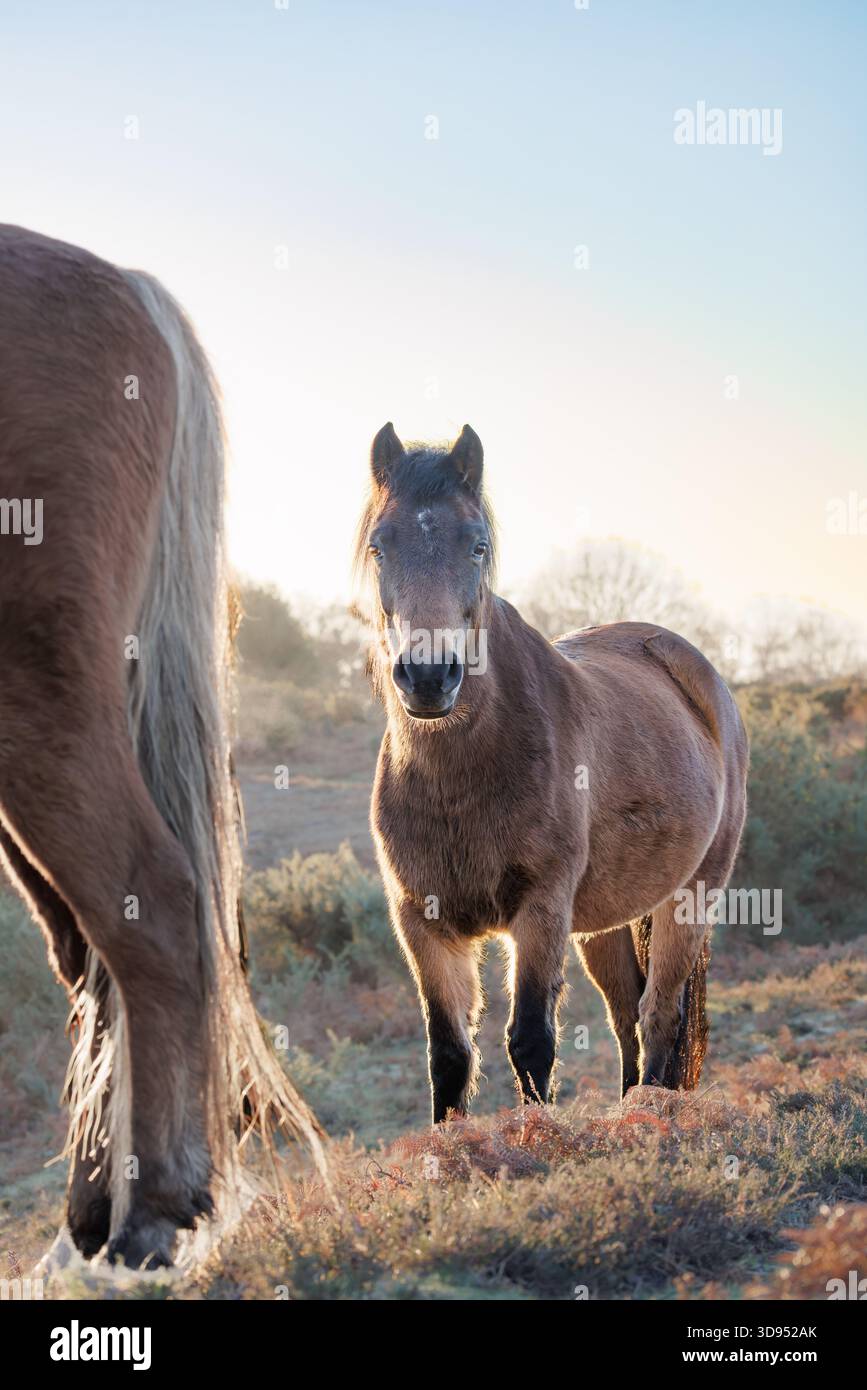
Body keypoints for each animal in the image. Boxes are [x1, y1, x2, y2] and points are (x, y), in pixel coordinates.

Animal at [355, 422, 749, 1123]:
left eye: (478, 545)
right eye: (379, 545)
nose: (428, 676)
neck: (460, 781)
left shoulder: (540, 910)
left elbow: (531, 1042)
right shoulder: (421, 923)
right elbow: (448, 1056)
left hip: (691, 895)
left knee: (660, 1016)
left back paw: (651, 1118)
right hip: (605, 922)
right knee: (627, 1018)